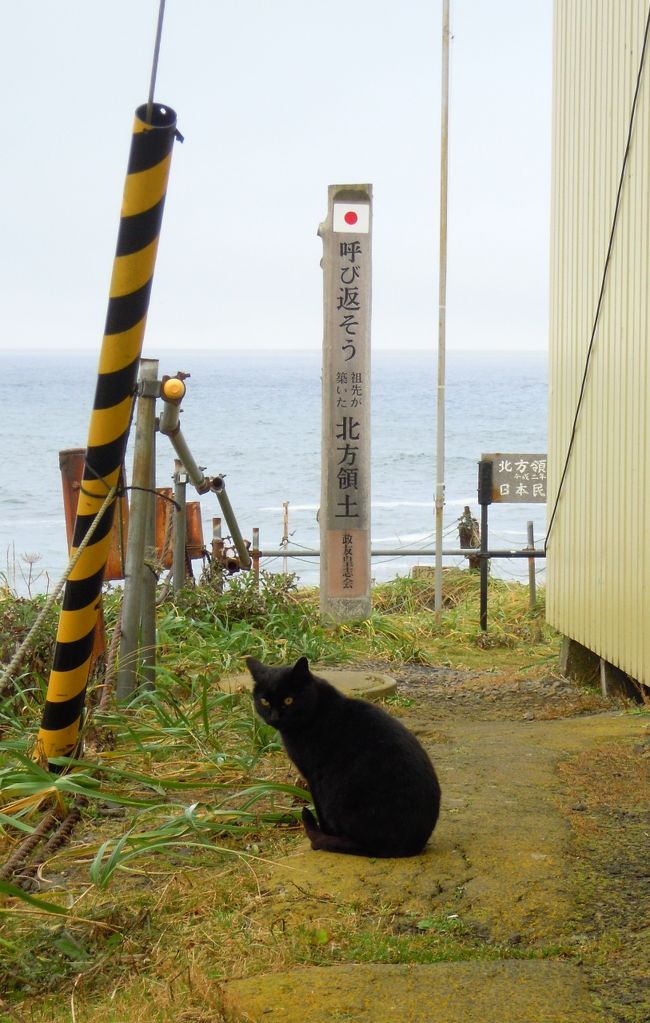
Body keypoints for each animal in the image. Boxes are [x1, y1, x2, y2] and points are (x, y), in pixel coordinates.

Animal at [245, 654, 442, 855]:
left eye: (288, 700)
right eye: (264, 701)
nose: (274, 717)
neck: (317, 710)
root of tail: (410, 845)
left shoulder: (315, 778)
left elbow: (320, 811)